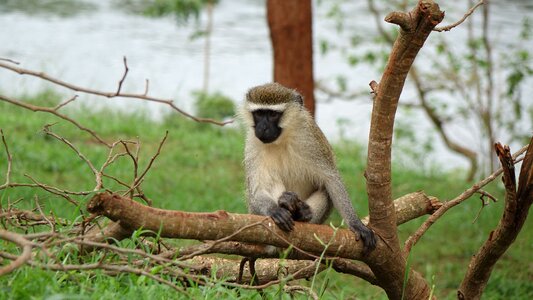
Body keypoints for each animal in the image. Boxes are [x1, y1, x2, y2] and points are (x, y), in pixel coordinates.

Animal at [240, 81, 374, 251]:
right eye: (259, 114)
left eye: (272, 114)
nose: (262, 128)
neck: (282, 139)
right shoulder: (252, 143)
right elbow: (256, 191)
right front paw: (275, 209)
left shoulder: (310, 138)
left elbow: (331, 180)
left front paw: (356, 224)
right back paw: (287, 204)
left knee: (324, 189)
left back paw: (301, 213)